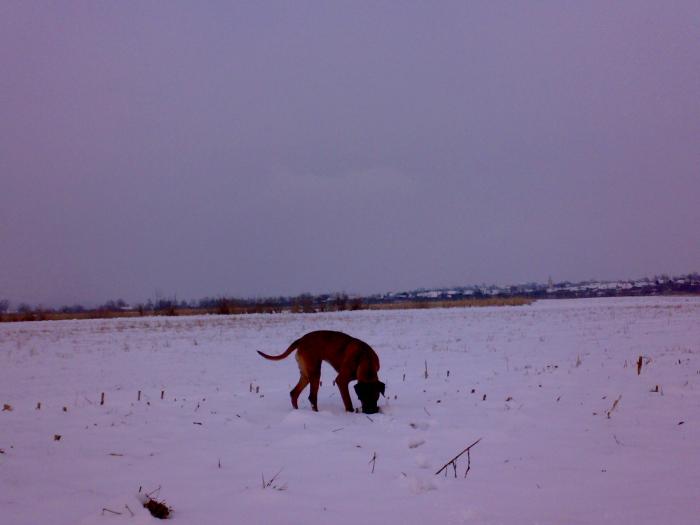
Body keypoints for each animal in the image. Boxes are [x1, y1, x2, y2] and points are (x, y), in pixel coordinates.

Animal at [258, 332, 386, 414]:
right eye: (362, 397)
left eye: (376, 396)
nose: (371, 412)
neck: (365, 358)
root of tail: (301, 339)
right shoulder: (341, 381)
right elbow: (348, 402)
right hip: (315, 371)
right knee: (312, 397)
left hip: (306, 374)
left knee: (294, 393)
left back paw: (297, 412)